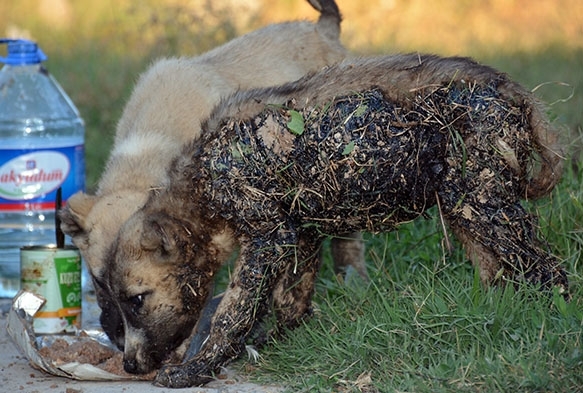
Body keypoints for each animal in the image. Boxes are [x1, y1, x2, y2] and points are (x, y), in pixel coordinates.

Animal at [105, 53, 564, 388]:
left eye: (137, 300)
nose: (129, 367)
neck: (200, 182)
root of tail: (512, 90)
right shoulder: (300, 234)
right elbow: (292, 296)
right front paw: (287, 338)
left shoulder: (269, 236)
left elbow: (232, 314)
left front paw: (195, 369)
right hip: (464, 204)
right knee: (495, 271)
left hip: (484, 202)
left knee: (547, 267)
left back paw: (553, 314)